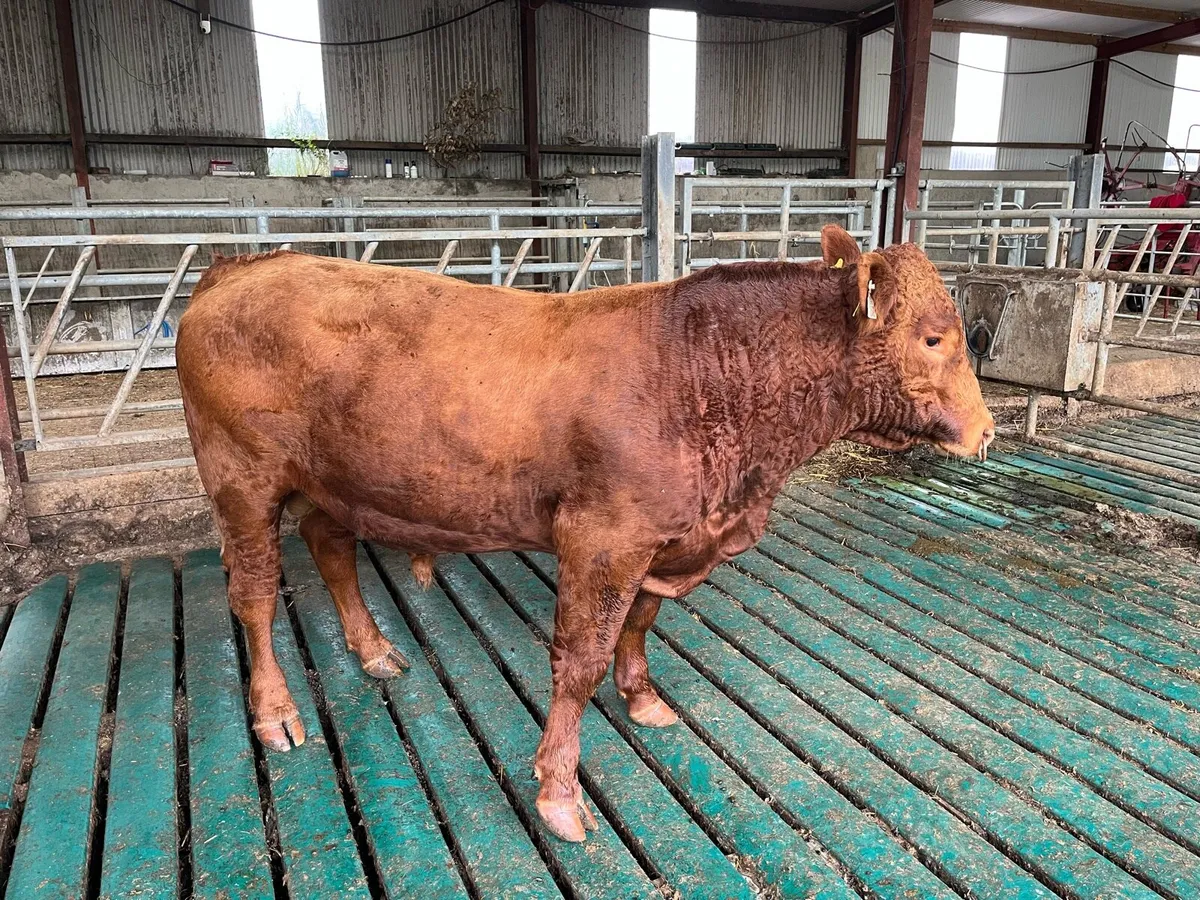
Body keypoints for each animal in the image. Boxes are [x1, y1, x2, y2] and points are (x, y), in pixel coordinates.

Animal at [176, 224, 993, 843]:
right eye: (932, 338)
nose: (986, 430)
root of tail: (245, 268)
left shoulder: (665, 536)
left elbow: (642, 621)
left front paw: (642, 696)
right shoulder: (603, 540)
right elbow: (581, 662)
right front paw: (560, 791)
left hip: (337, 484)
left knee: (329, 543)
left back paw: (374, 649)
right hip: (242, 480)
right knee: (254, 595)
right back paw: (275, 712)